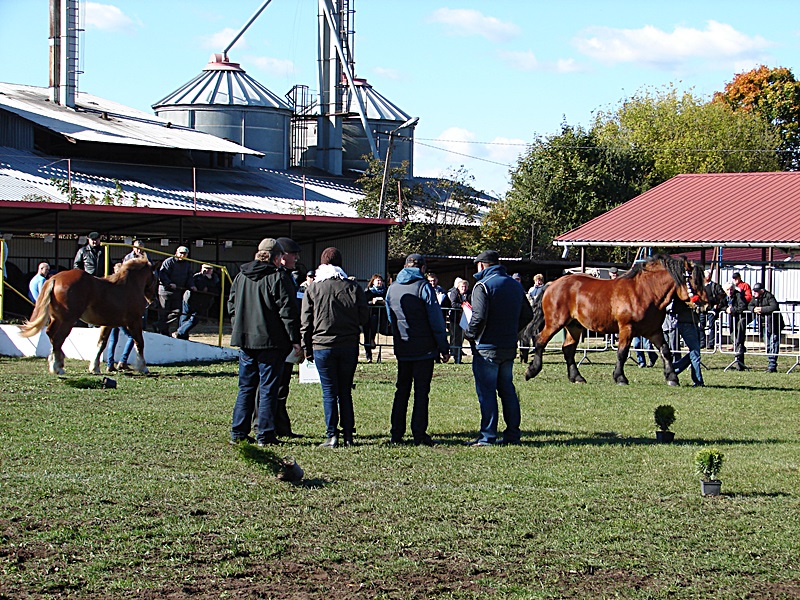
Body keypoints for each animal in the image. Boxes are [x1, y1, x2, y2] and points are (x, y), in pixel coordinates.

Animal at [18, 258, 158, 375]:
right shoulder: (134, 321)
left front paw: (94, 367)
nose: (154, 301)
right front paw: (143, 367)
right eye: (155, 278)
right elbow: (139, 342)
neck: (129, 286)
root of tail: (55, 278)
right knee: (57, 339)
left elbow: (101, 344)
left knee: (50, 334)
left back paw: (57, 362)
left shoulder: (108, 324)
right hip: (68, 320)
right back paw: (57, 367)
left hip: (56, 319)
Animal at [522, 255, 707, 386]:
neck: (645, 292)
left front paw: (672, 378)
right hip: (555, 322)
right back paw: (532, 371)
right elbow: (622, 353)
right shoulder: (626, 328)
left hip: (574, 326)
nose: (706, 302)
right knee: (540, 340)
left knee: (568, 349)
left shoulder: (654, 331)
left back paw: (577, 377)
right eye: (694, 280)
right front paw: (620, 378)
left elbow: (666, 351)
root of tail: (552, 284)